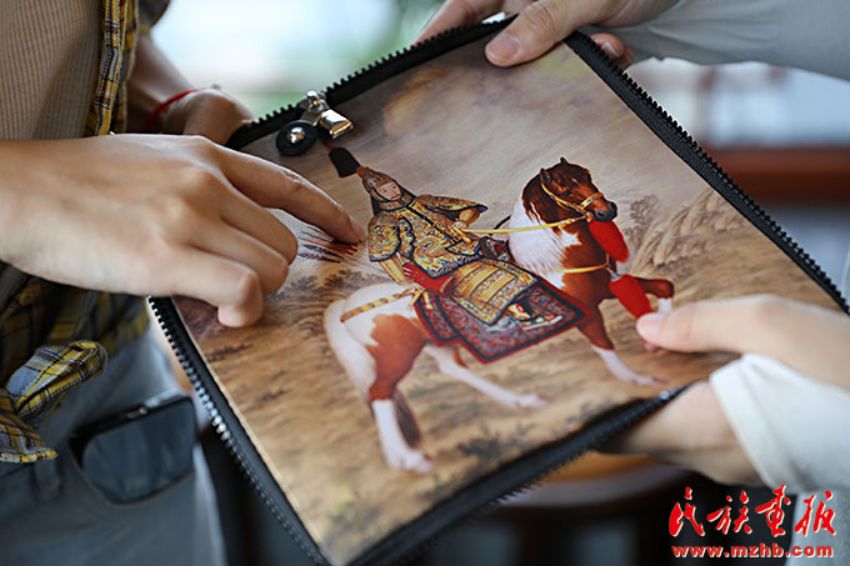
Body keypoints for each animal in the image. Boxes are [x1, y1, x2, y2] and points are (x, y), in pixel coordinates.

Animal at [323, 159, 674, 473]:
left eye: (586, 174)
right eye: (564, 187)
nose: (607, 211)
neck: (555, 260)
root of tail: (347, 306)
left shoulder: (609, 287)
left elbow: (664, 287)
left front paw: (658, 334)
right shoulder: (586, 313)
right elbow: (606, 349)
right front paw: (640, 380)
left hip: (434, 342)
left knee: (453, 370)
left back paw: (524, 402)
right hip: (398, 354)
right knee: (380, 393)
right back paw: (409, 460)